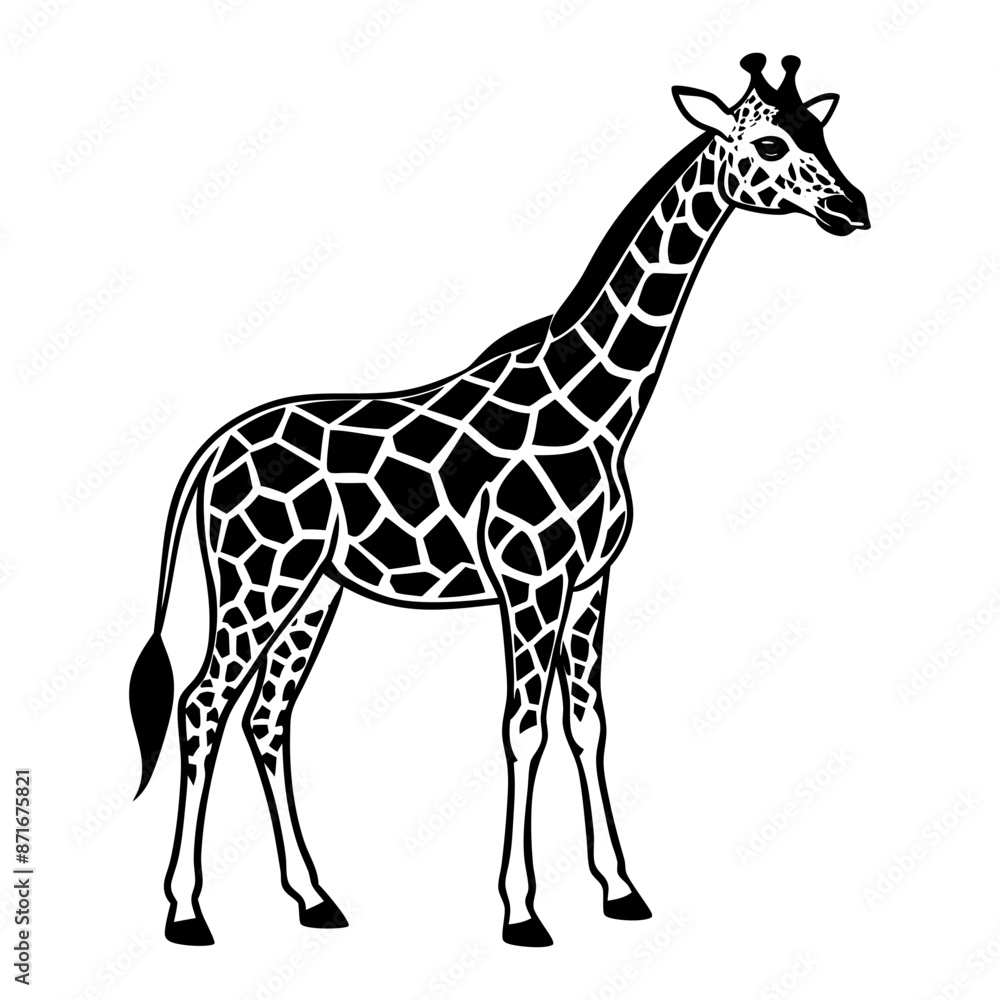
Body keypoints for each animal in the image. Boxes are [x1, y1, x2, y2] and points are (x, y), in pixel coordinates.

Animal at [129, 54, 869, 948]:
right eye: (766, 142)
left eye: (820, 131)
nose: (854, 208)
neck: (595, 404)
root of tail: (211, 452)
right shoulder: (530, 580)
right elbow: (524, 728)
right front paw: (522, 911)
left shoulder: (589, 582)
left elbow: (588, 724)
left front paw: (621, 889)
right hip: (257, 578)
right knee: (203, 704)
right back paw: (185, 911)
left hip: (312, 591)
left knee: (267, 718)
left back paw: (315, 898)